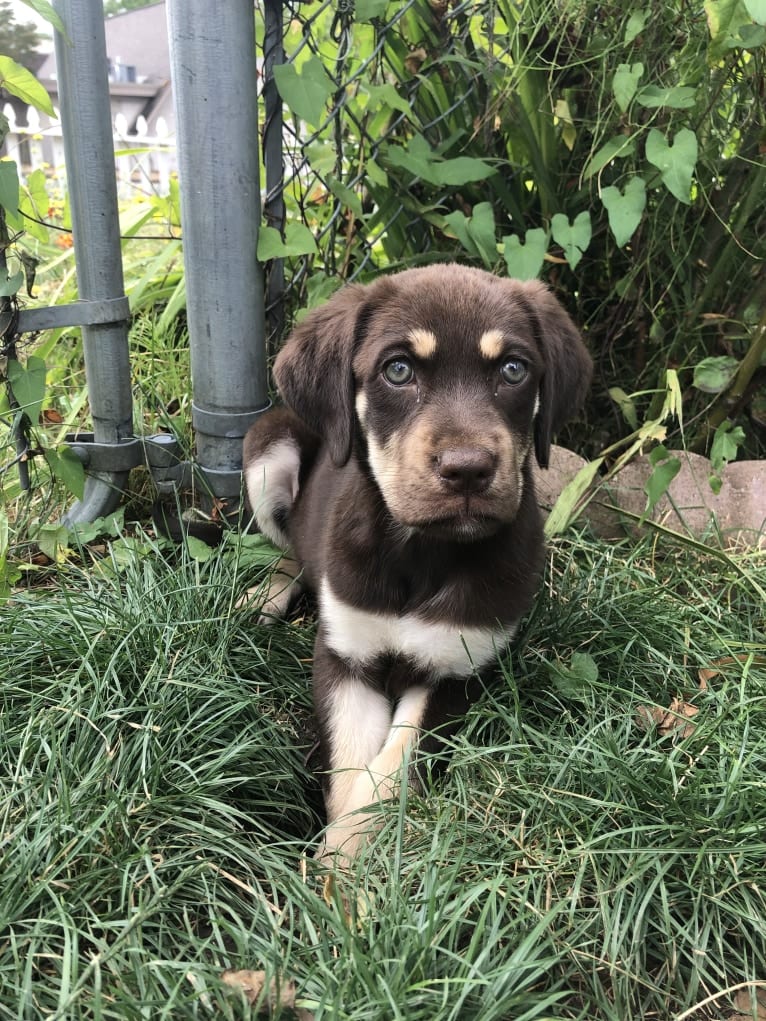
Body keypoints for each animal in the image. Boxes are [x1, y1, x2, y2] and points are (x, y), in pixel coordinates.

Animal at [240, 265, 592, 861]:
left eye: (514, 369)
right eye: (398, 370)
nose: (468, 469)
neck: (422, 552)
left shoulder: (457, 671)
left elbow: (386, 774)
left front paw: (344, 868)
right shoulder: (345, 656)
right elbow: (350, 769)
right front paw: (333, 872)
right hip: (267, 446)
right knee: (290, 554)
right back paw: (256, 604)